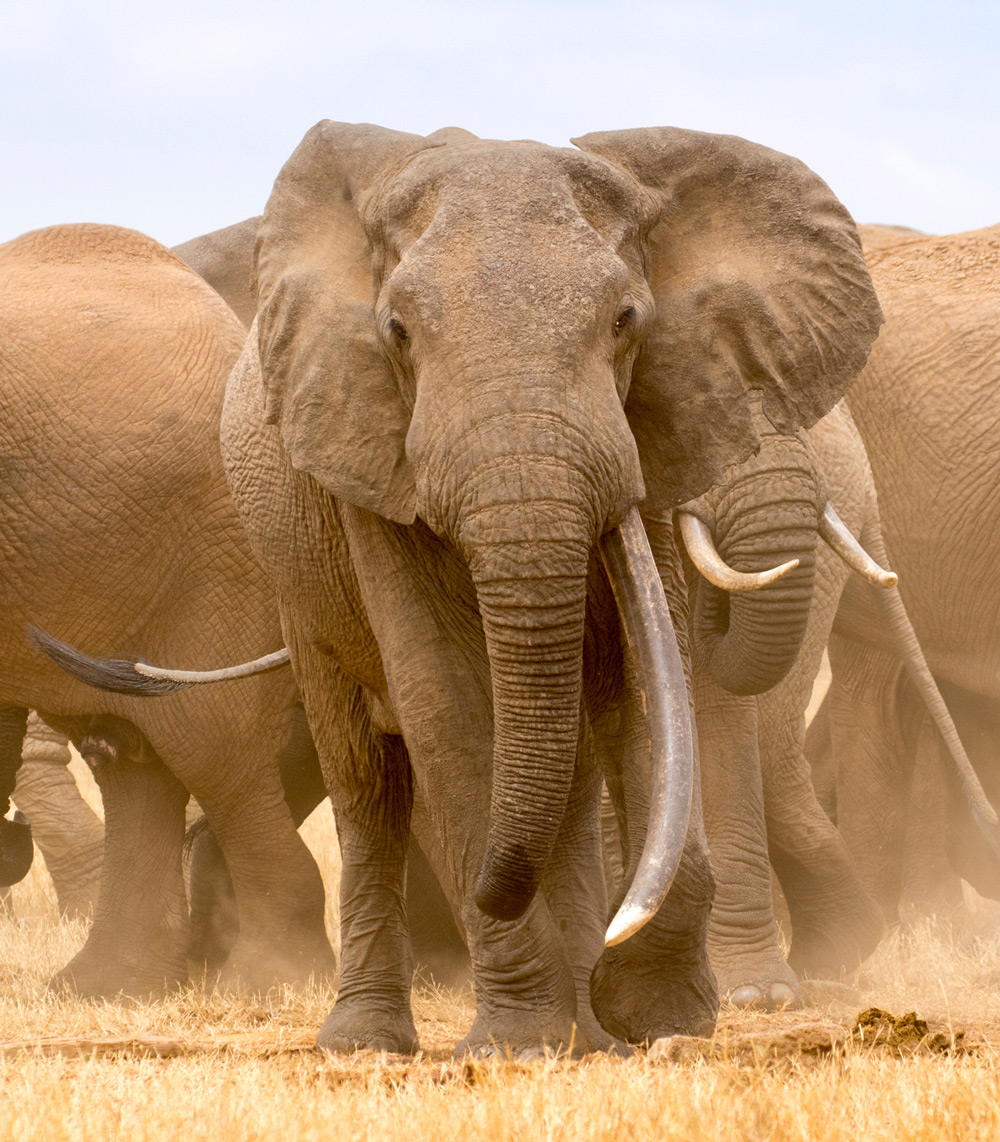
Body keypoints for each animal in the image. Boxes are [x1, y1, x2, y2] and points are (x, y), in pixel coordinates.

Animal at [103, 120, 876, 1055]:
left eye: (626, 322)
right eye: (397, 332)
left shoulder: (650, 445)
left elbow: (649, 691)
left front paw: (654, 1016)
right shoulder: (372, 463)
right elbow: (445, 699)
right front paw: (519, 1041)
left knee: (567, 769)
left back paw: (589, 1028)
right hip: (294, 577)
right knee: (366, 778)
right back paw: (368, 1040)